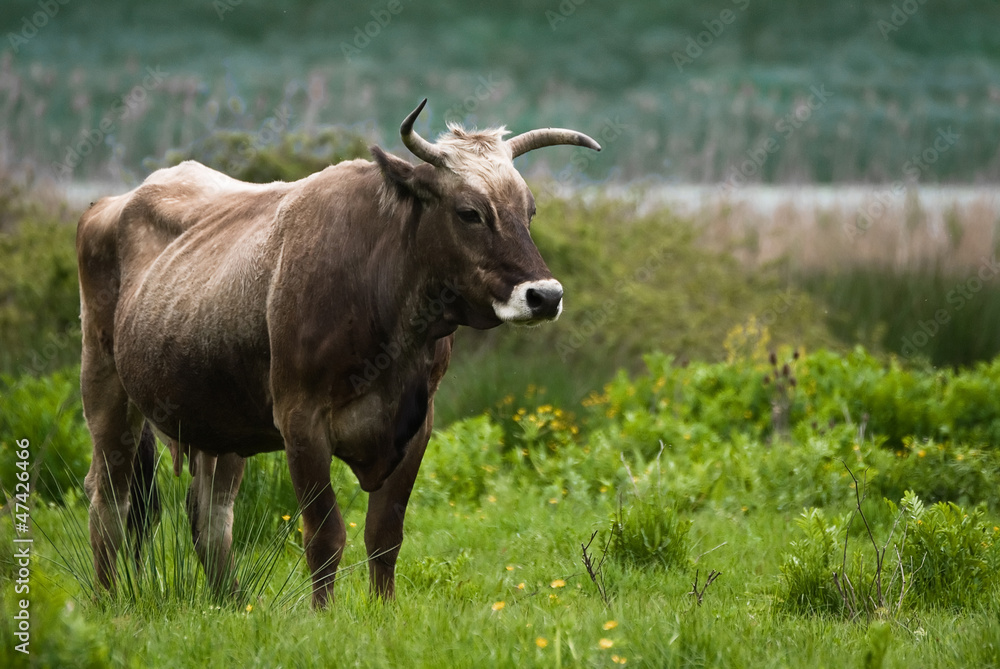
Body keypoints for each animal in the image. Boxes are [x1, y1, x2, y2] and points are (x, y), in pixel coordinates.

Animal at [78, 99, 596, 604]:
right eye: (469, 212)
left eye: (529, 211)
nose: (545, 295)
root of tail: (116, 201)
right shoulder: (300, 423)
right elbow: (325, 536)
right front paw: (323, 615)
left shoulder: (417, 426)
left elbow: (385, 535)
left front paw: (382, 611)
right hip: (105, 390)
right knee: (110, 501)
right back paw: (110, 602)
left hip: (219, 420)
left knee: (211, 516)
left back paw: (229, 602)